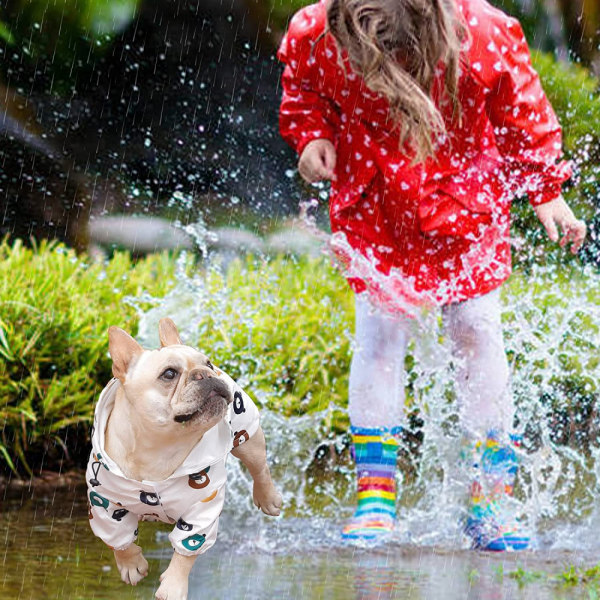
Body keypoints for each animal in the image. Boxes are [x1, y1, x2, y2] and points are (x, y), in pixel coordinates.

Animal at [85, 316, 282, 596]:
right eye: (169, 374)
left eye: (208, 363)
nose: (205, 373)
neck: (160, 446)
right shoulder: (105, 504)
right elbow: (118, 539)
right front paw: (131, 565)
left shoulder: (201, 510)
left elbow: (186, 549)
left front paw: (173, 587)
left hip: (247, 436)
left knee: (259, 467)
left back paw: (269, 499)